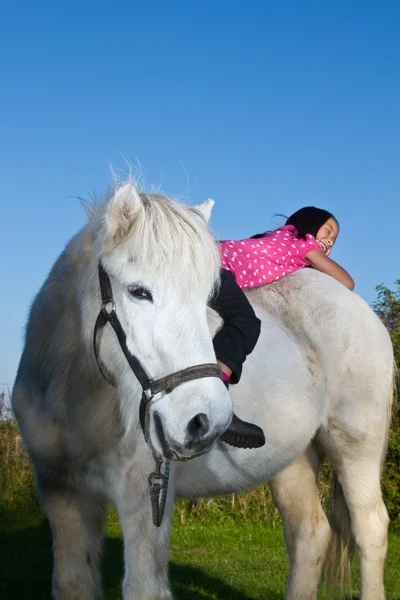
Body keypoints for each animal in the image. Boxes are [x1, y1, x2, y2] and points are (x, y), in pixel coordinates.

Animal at [11, 183, 394, 600]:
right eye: (138, 291)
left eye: (208, 298)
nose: (204, 421)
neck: (76, 400)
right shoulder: (63, 496)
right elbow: (72, 583)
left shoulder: (146, 497)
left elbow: (144, 587)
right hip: (293, 461)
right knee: (309, 534)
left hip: (356, 447)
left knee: (370, 530)